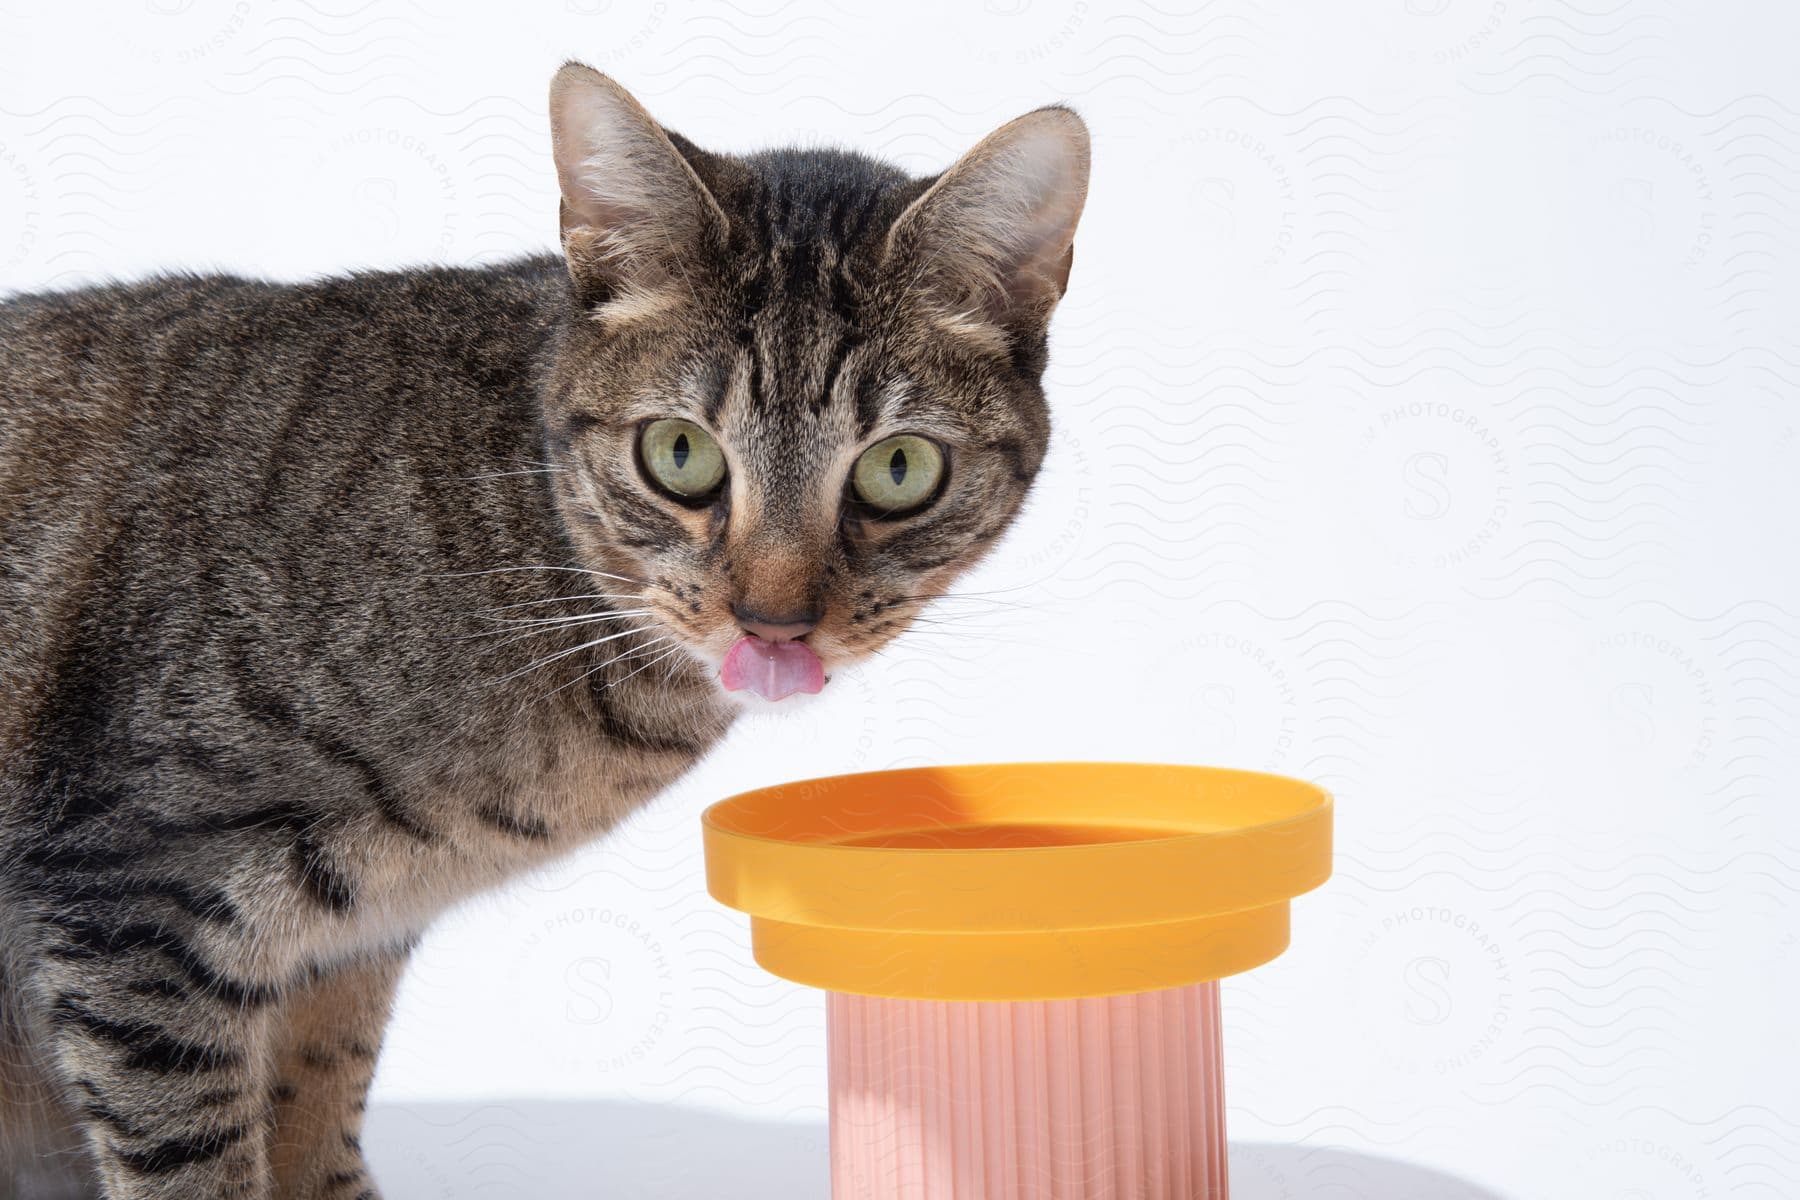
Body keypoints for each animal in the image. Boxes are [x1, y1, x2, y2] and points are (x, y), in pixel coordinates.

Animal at [0, 65, 1087, 1200]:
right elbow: (193, 1158)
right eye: (680, 454)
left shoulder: (343, 945)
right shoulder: (139, 890)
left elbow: (316, 1107)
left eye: (899, 470)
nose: (773, 619)